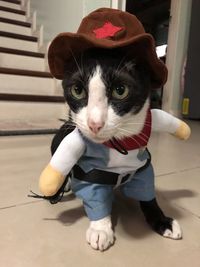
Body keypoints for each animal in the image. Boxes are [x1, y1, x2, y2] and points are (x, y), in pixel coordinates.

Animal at [50, 49, 183, 252]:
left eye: (120, 90)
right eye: (77, 90)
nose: (95, 124)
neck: (119, 145)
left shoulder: (142, 170)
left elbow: (148, 195)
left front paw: (162, 220)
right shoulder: (91, 173)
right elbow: (96, 197)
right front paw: (100, 229)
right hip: (58, 139)